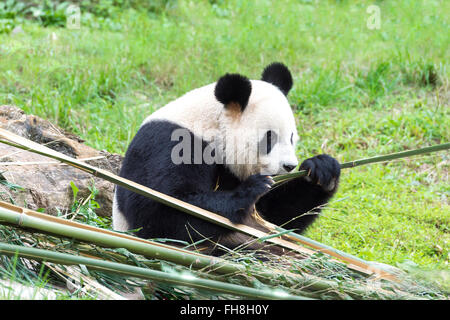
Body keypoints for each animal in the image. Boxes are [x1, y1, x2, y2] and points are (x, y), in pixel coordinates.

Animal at [112, 63, 342, 255]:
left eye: (292, 137)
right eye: (269, 138)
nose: (289, 166)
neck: (212, 125)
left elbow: (275, 219)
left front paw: (321, 170)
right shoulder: (166, 145)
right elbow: (157, 211)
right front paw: (250, 190)